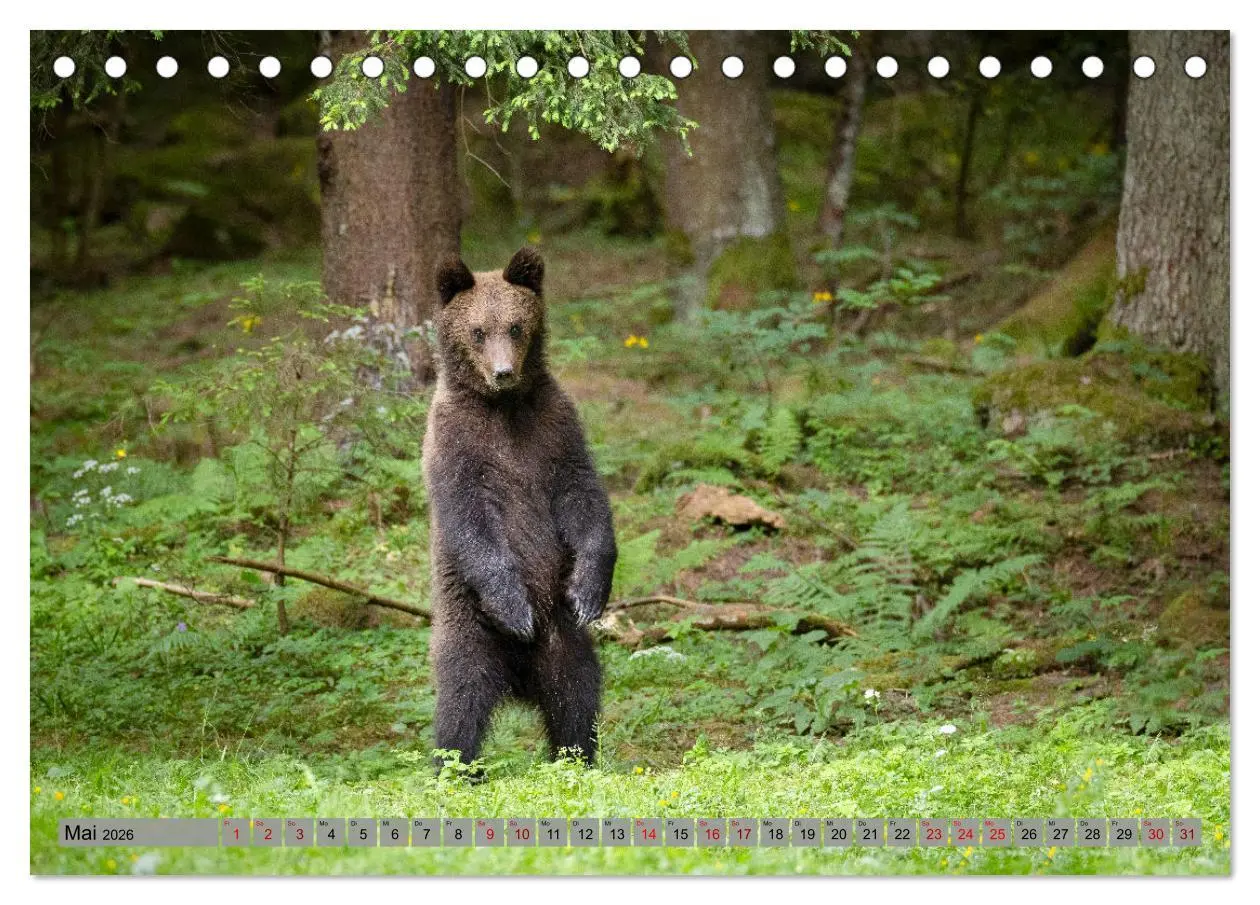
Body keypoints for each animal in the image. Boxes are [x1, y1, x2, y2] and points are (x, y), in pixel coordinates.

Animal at [422, 246, 617, 770]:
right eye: (477, 330)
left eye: (515, 325)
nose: (503, 373)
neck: (504, 409)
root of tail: (517, 681)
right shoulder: (456, 447)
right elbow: (470, 520)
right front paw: (514, 606)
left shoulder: (555, 431)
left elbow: (584, 498)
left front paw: (589, 590)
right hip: (469, 626)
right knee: (462, 700)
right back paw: (456, 768)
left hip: (562, 639)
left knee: (577, 694)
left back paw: (576, 758)